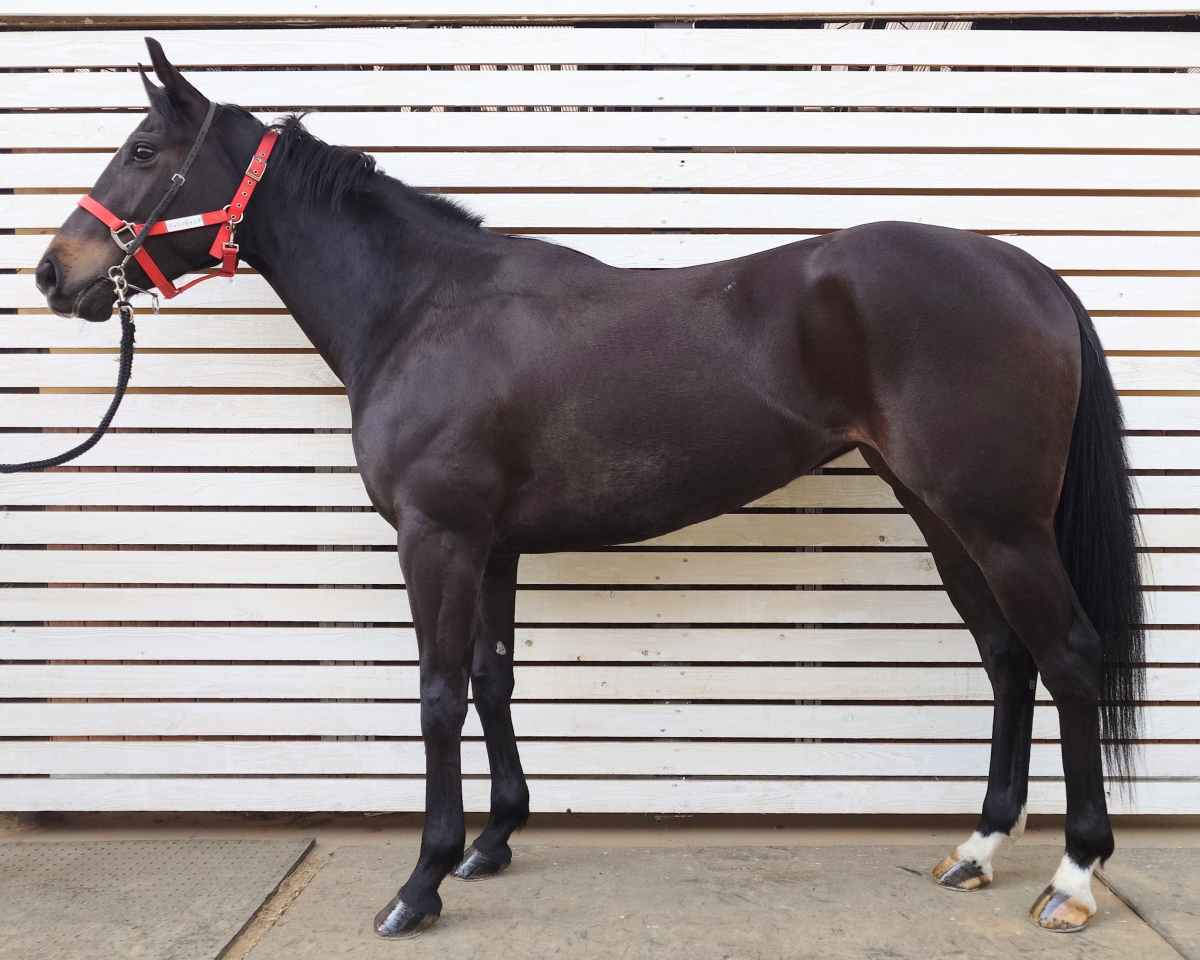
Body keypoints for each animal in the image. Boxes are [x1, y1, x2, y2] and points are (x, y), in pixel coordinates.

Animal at [35, 39, 1143, 940]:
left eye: (143, 148)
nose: (54, 274)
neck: (421, 307)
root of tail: (1030, 274)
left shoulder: (436, 539)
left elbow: (438, 696)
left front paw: (421, 882)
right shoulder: (490, 546)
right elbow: (492, 681)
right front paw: (492, 843)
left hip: (999, 522)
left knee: (1068, 657)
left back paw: (1075, 877)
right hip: (942, 512)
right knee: (1007, 658)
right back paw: (980, 849)